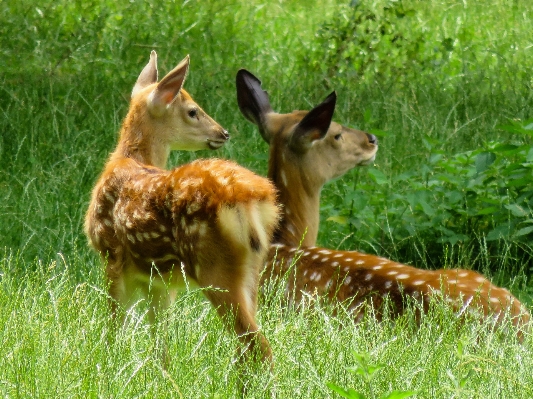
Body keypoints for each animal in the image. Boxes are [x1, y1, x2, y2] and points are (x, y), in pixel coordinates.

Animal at [83, 51, 280, 364]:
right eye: (193, 111)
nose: (223, 132)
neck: (127, 160)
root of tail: (252, 198)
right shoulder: (159, 281)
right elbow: (160, 346)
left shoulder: (112, 256)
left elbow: (115, 328)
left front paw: (108, 364)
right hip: (252, 268)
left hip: (214, 265)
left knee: (257, 346)